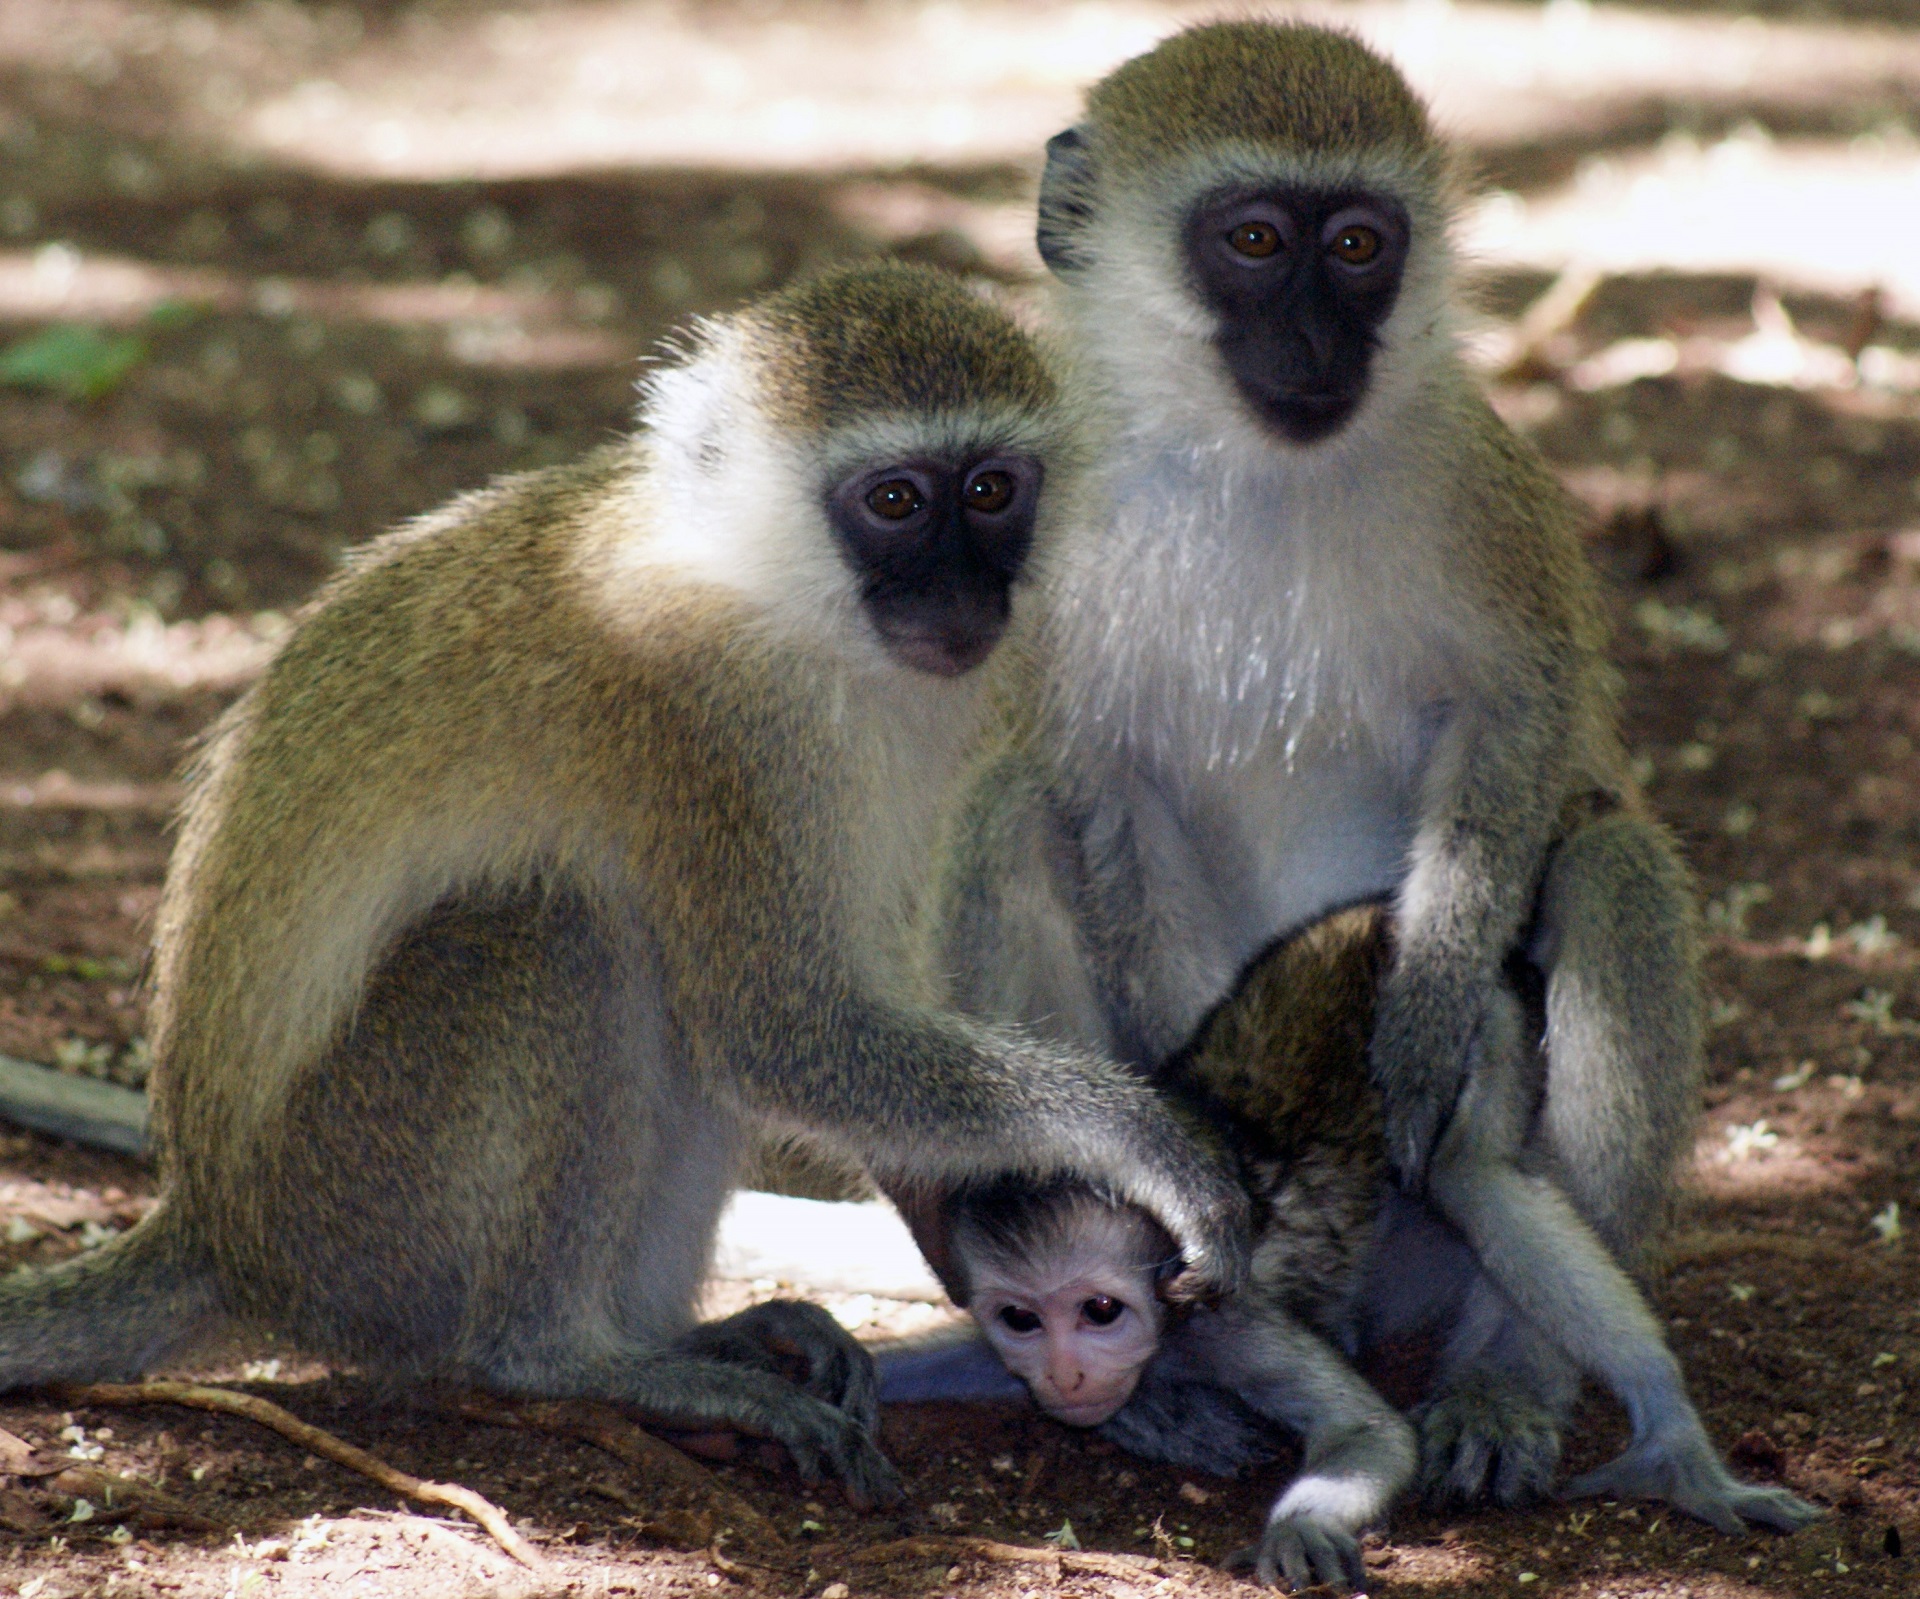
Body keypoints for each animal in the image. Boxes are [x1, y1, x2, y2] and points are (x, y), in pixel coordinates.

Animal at [0, 262, 1252, 1507]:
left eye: (992, 490)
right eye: (896, 502)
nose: (964, 596)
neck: (769, 595)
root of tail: (216, 1227)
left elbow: (838, 1015)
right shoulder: (706, 727)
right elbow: (783, 1029)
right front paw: (1150, 1144)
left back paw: (684, 1338)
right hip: (356, 1204)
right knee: (564, 934)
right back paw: (571, 1358)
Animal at [913, 904, 1817, 1589]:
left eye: (1101, 1310)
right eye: (1022, 1320)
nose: (1064, 1373)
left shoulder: (1229, 1320)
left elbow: (1372, 1433)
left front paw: (1297, 1526)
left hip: (1467, 1018)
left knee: (1468, 1171)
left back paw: (1673, 1445)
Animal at [934, 20, 1719, 1512]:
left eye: (1358, 245)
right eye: (1253, 239)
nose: (1316, 335)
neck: (1262, 469)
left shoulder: (1477, 484)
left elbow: (1516, 716)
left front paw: (1415, 1025)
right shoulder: (1048, 543)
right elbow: (1098, 790)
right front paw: (1201, 1150)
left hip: (1439, 1238)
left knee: (1606, 864)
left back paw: (1510, 1377)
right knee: (1007, 828)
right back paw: (1158, 1377)